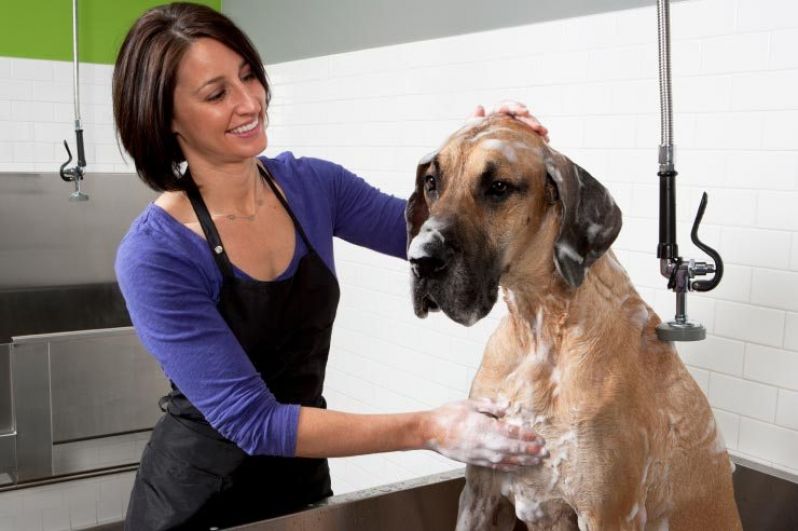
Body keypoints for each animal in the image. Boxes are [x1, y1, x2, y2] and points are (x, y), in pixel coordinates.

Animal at [406, 116, 744, 531]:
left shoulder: (606, 514)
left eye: (498, 187)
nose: (420, 259)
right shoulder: (480, 492)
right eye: (431, 182)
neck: (538, 328)